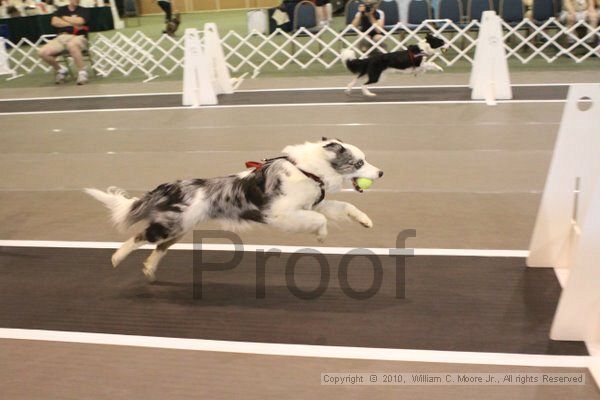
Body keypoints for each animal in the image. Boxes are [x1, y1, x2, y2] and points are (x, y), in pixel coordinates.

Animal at [85, 140, 382, 282]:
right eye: (359, 162)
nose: (380, 173)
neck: (308, 170)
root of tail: (173, 186)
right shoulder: (281, 213)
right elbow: (319, 219)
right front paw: (321, 235)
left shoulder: (313, 202)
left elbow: (345, 206)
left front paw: (365, 221)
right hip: (171, 225)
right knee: (141, 237)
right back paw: (116, 258)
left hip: (180, 228)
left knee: (159, 247)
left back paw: (148, 269)